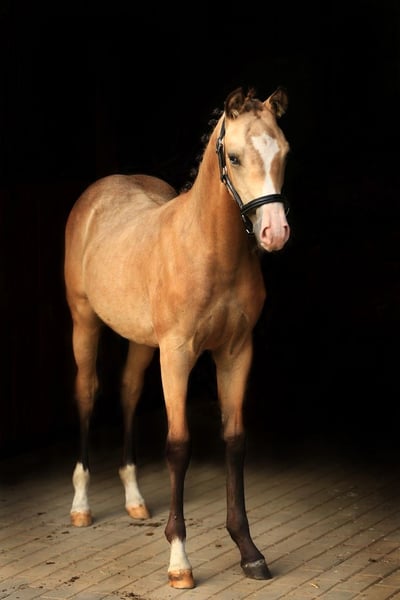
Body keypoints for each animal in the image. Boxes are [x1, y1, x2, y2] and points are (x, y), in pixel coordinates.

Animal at [64, 86, 290, 589]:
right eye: (234, 156)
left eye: (284, 152)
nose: (274, 233)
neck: (210, 249)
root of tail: (100, 190)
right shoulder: (178, 355)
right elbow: (179, 446)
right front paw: (179, 559)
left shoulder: (236, 353)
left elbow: (234, 440)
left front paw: (249, 551)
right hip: (85, 323)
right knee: (87, 394)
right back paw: (81, 506)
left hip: (141, 342)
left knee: (128, 393)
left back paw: (133, 499)